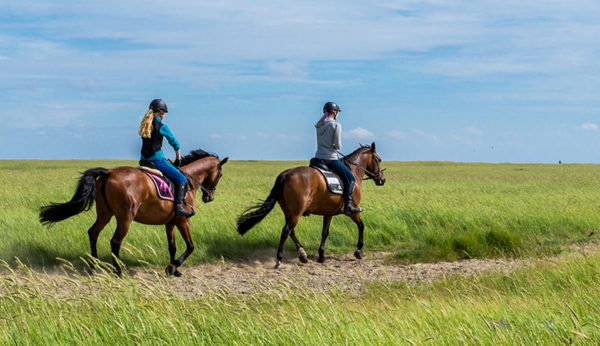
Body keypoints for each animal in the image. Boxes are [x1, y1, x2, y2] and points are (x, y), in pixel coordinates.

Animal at [39, 150, 227, 278]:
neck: (188, 181)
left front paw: (174, 269)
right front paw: (173, 267)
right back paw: (118, 271)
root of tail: (108, 172)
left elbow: (172, 246)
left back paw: (94, 266)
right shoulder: (182, 220)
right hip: (125, 218)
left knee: (93, 233)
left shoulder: (170, 222)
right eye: (220, 174)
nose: (209, 197)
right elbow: (190, 246)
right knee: (115, 241)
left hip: (105, 214)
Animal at [237, 142, 386, 268]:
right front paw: (359, 250)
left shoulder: (328, 213)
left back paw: (302, 254)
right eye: (378, 159)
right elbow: (361, 226)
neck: (354, 170)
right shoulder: (352, 211)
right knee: (286, 231)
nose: (382, 180)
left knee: (291, 231)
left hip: (289, 211)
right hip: (296, 212)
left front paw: (321, 255)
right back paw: (279, 260)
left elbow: (325, 232)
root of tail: (286, 174)